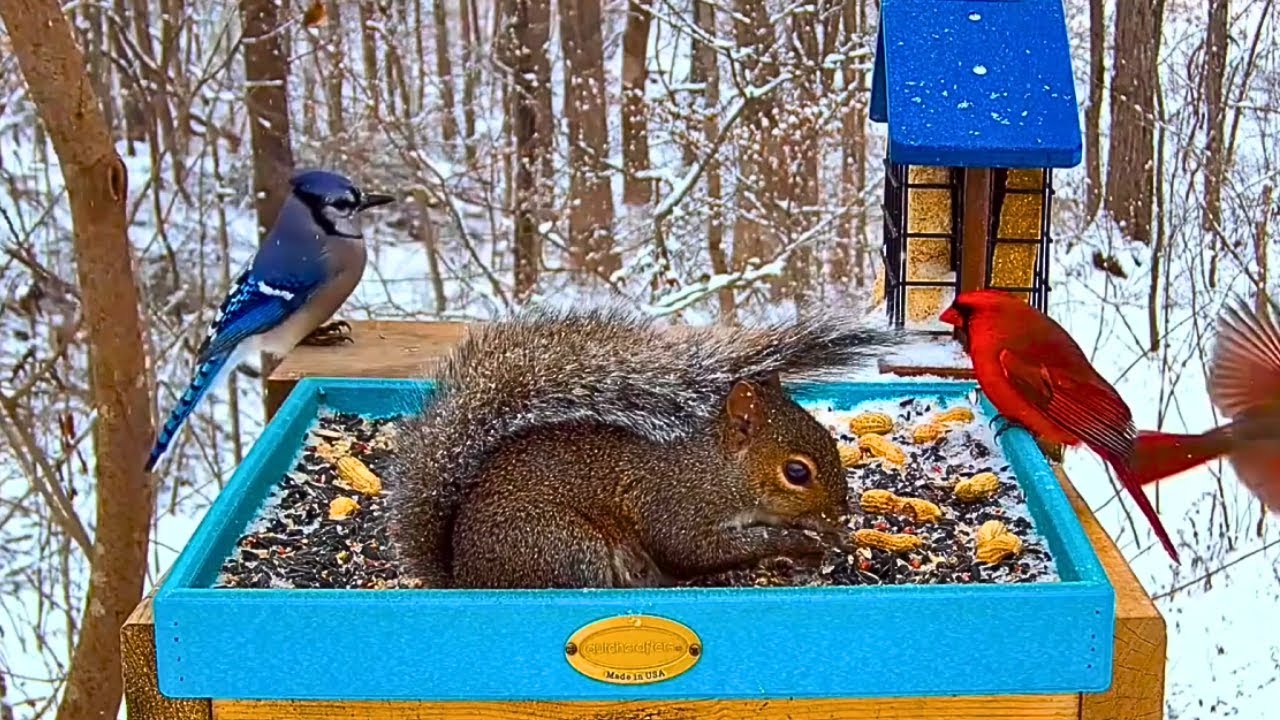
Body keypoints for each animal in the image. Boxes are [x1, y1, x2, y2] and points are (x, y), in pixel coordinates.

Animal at [386, 303, 908, 589]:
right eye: (797, 472)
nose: (840, 512)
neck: (719, 469)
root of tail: (464, 577)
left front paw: (828, 535)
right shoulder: (676, 506)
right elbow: (692, 548)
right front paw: (798, 540)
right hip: (563, 544)